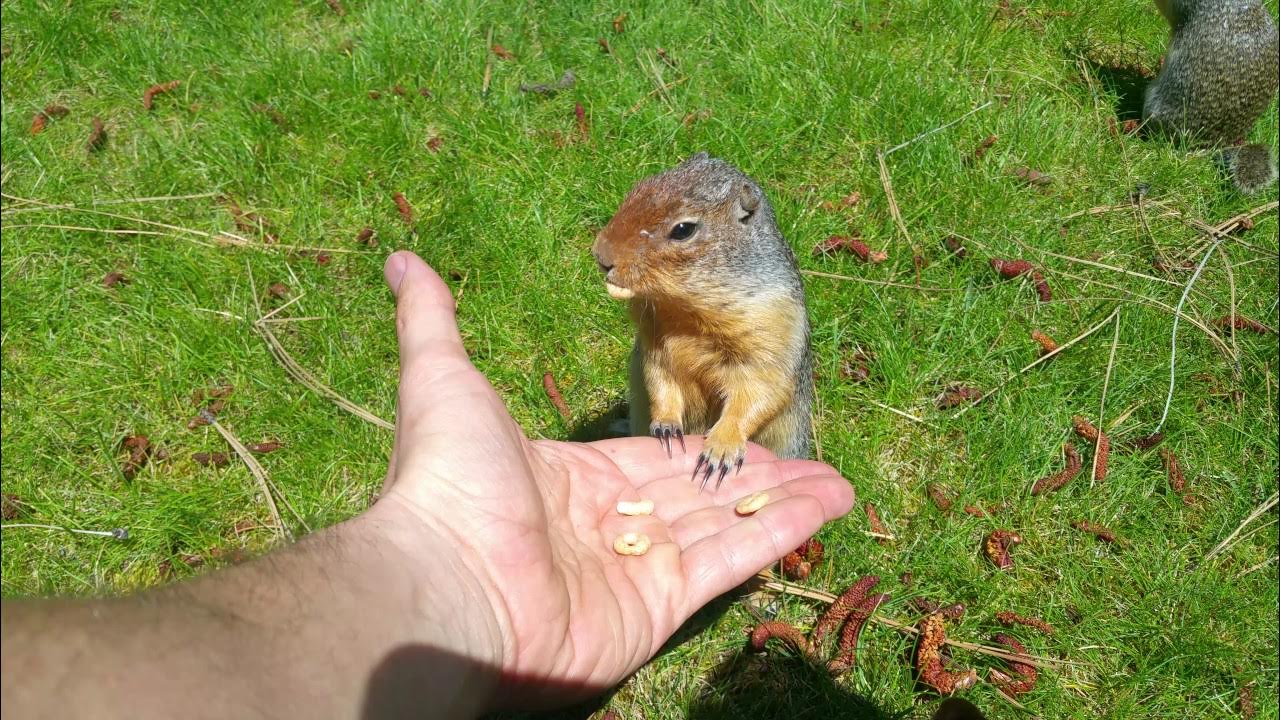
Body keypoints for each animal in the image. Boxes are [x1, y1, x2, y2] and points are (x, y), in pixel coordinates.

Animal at [593, 152, 814, 486]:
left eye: (683, 229)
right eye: (638, 186)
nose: (600, 255)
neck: (685, 310)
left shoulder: (771, 327)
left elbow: (757, 392)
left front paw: (721, 448)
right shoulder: (654, 343)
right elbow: (660, 380)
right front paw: (666, 426)